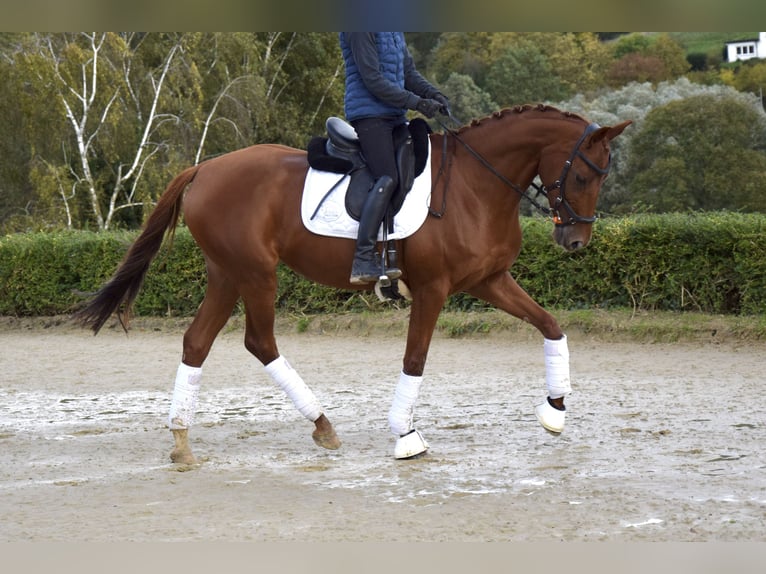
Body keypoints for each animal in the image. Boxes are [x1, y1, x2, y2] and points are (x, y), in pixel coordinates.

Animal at [74, 104, 631, 462]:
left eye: (603, 176)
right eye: (583, 176)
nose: (575, 242)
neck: (477, 185)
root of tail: (205, 168)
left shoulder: (490, 281)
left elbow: (550, 325)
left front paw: (555, 410)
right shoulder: (432, 290)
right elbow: (415, 359)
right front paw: (406, 436)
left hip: (226, 274)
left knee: (197, 342)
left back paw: (182, 440)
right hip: (255, 273)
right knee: (259, 341)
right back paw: (321, 424)